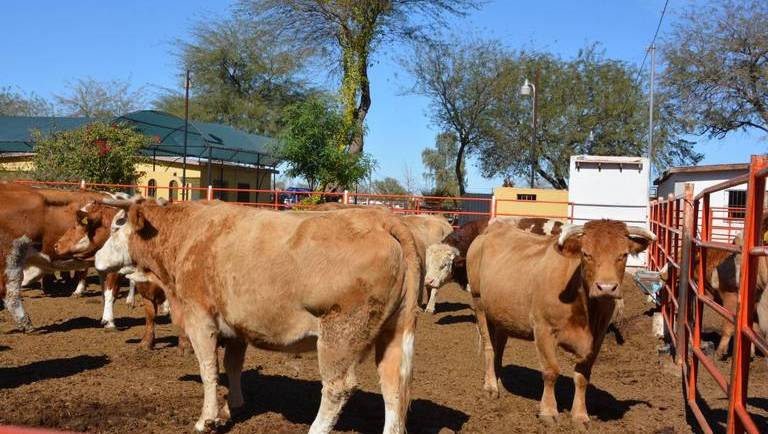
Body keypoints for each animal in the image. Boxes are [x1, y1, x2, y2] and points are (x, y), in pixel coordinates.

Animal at [96, 199, 424, 434]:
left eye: (116, 227)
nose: (97, 258)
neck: (188, 235)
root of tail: (382, 219)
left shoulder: (199, 318)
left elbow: (208, 369)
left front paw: (207, 419)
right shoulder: (236, 326)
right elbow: (232, 366)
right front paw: (232, 408)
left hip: (340, 334)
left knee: (337, 388)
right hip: (392, 333)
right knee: (393, 387)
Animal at [468, 220, 656, 428]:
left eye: (623, 255)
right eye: (586, 254)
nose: (606, 288)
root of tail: (495, 228)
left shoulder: (597, 339)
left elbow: (582, 377)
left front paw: (580, 416)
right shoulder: (543, 329)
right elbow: (551, 371)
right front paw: (549, 412)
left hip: (502, 315)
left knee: (499, 347)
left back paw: (499, 381)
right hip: (478, 302)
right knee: (489, 347)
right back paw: (490, 386)